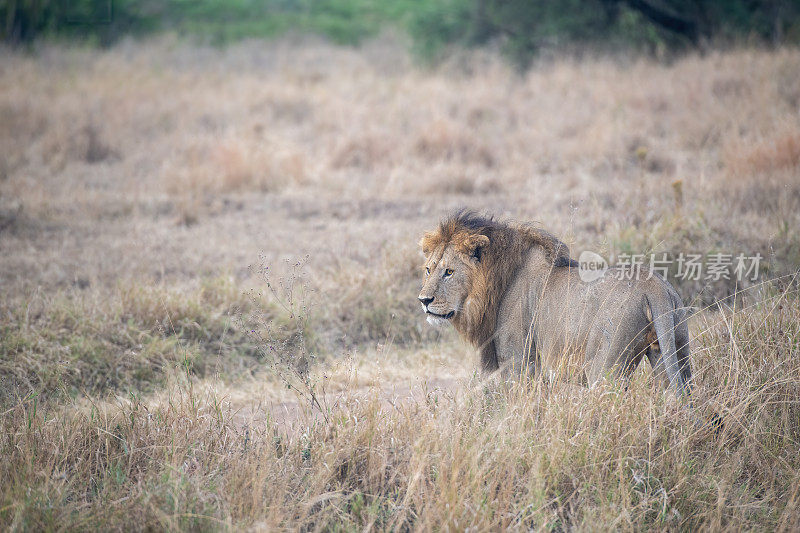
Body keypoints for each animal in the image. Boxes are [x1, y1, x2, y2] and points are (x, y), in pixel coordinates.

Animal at [418, 210, 692, 396]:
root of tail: (655, 286)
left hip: (605, 366)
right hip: (674, 352)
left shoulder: (519, 364)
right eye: (428, 270)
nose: (424, 300)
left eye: (449, 272)